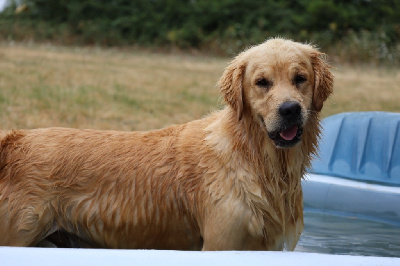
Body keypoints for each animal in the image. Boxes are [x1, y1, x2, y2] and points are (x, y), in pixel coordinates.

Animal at [0, 38, 332, 250]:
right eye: (262, 82)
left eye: (300, 78)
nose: (290, 110)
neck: (253, 158)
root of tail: (15, 139)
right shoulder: (222, 242)